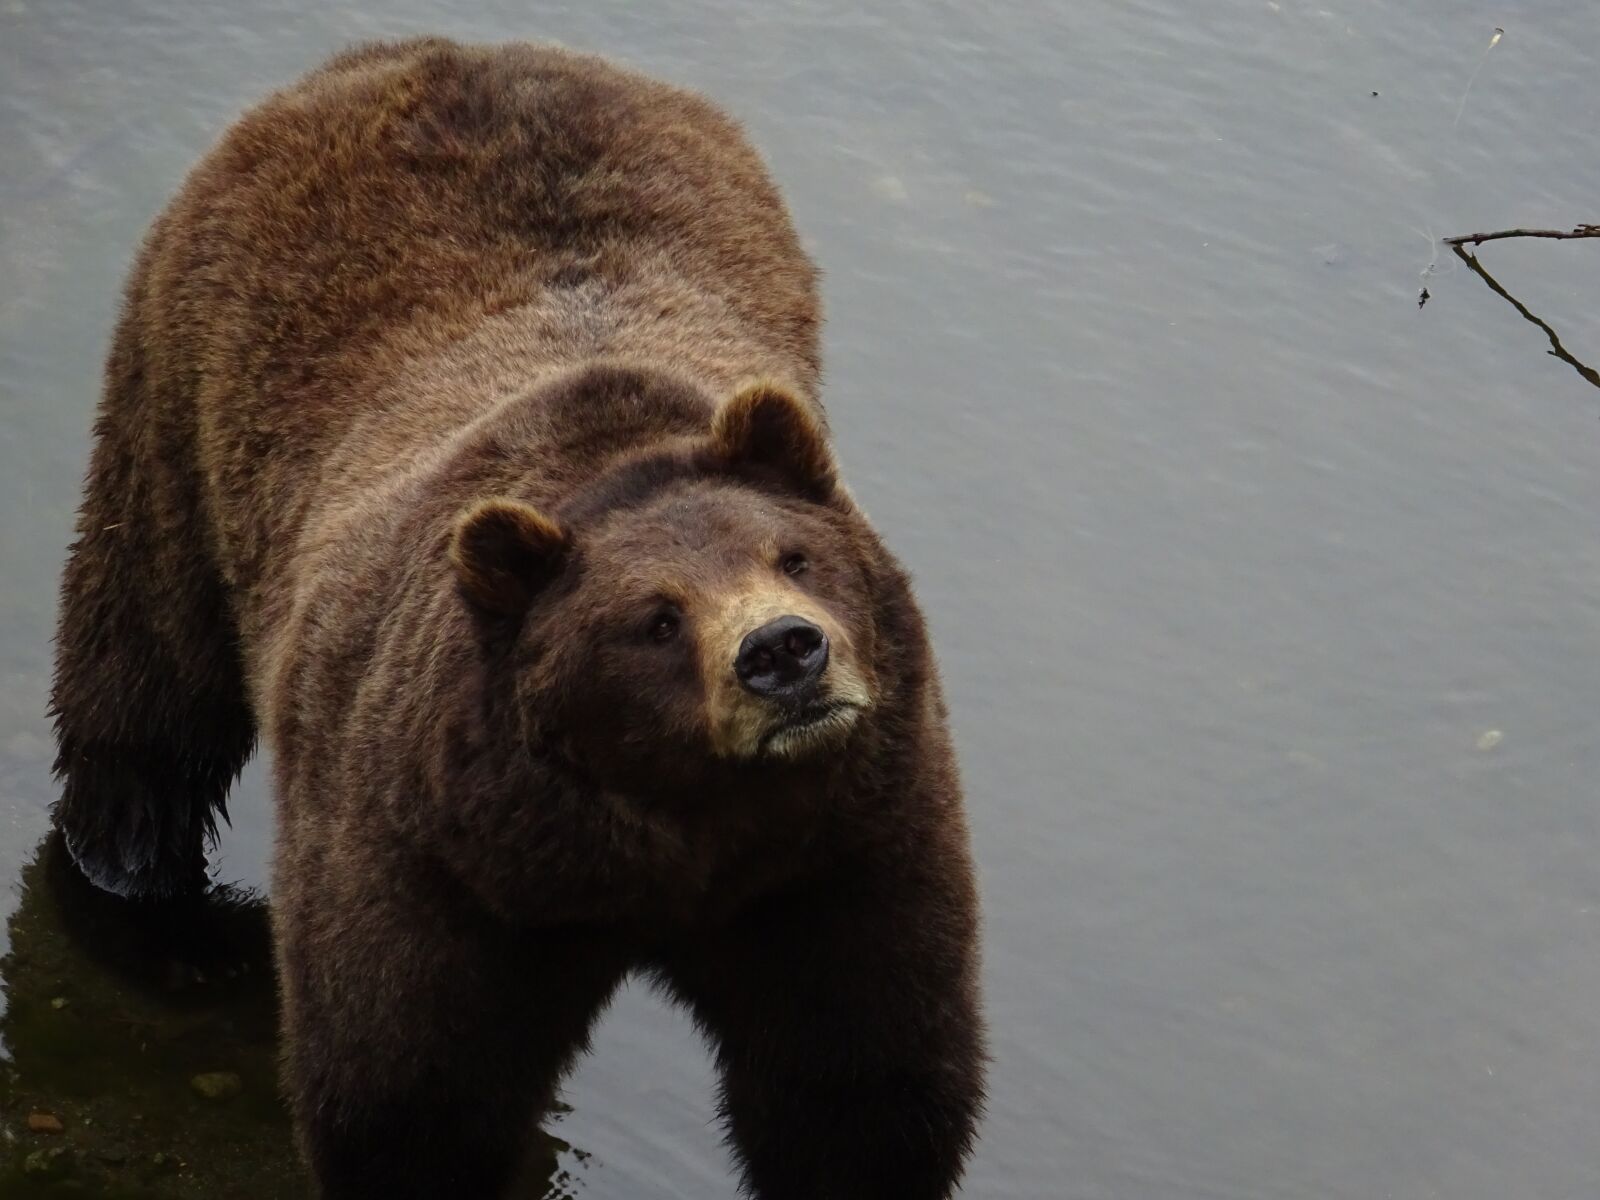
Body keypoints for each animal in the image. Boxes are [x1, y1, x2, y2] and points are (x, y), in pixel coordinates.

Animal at [48, 37, 985, 1200]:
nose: (783, 652)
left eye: (795, 556)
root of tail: (423, 50)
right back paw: (143, 891)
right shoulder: (432, 856)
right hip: (184, 406)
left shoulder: (843, 847)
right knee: (147, 667)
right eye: (656, 618)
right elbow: (408, 1086)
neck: (664, 835)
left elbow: (859, 1081)